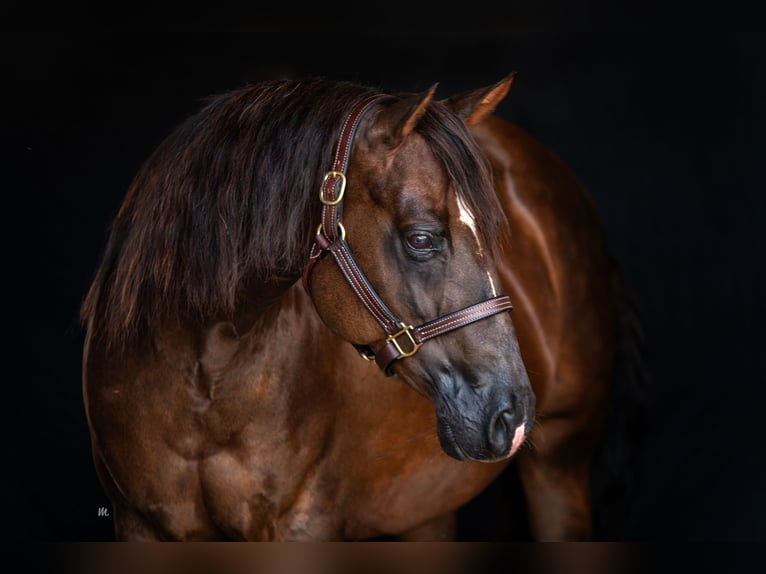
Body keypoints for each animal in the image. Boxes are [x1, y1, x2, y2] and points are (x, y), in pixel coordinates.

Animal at [81, 74, 648, 544]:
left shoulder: (303, 526)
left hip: (559, 470)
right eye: (422, 238)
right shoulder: (139, 526)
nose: (512, 413)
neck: (203, 376)